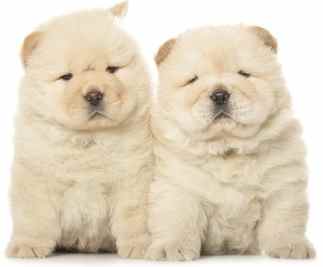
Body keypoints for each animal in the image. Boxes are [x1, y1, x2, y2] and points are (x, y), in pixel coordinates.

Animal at [7, 1, 154, 258]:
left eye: (112, 69)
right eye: (67, 77)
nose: (94, 94)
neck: (88, 138)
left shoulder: (134, 178)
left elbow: (134, 215)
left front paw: (140, 246)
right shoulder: (36, 177)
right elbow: (34, 216)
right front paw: (28, 246)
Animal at [147, 25, 316, 262]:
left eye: (243, 74)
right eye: (193, 80)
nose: (219, 94)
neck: (228, 149)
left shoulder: (282, 181)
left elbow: (284, 219)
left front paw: (290, 247)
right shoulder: (178, 186)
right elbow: (177, 218)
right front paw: (171, 249)